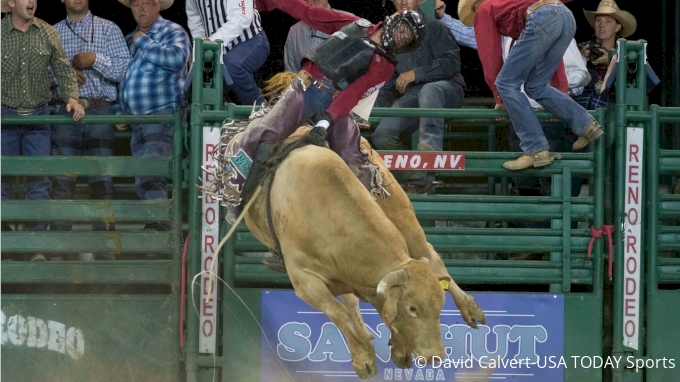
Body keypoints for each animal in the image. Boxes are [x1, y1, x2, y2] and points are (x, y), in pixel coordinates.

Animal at [244, 145, 452, 378]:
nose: (436, 356)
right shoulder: (304, 282)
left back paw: (470, 310)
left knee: (430, 253)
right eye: (412, 308)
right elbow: (340, 313)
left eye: (440, 305)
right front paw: (365, 356)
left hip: (404, 217)